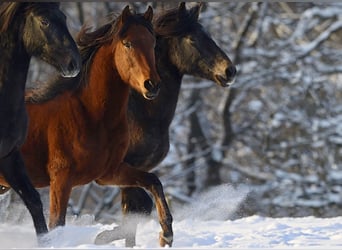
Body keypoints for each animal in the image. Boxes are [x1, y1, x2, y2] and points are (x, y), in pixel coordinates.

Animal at [95, 2, 236, 247]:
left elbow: (136, 208)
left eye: (208, 36)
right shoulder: (121, 166)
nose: (230, 71)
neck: (141, 114)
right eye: (191, 39)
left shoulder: (140, 168)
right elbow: (139, 206)